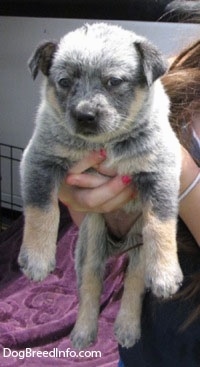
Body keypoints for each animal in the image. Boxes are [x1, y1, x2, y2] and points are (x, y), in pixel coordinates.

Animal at [18, 23, 183, 350]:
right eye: (64, 82)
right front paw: (38, 258)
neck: (106, 143)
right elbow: (42, 211)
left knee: (133, 284)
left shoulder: (161, 171)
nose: (85, 115)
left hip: (137, 251)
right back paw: (84, 331)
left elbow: (160, 223)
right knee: (91, 289)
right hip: (90, 243)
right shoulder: (39, 159)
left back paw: (127, 326)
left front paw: (165, 271)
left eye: (113, 81)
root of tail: (119, 245)